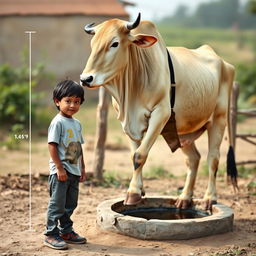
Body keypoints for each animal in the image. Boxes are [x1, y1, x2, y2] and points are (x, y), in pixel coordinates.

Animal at [80, 13, 238, 210]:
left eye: (114, 43)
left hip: (219, 118)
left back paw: (209, 198)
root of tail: (225, 64)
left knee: (213, 158)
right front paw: (138, 191)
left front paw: (133, 193)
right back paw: (184, 198)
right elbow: (133, 154)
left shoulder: (160, 114)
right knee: (193, 159)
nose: (86, 79)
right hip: (183, 133)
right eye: (93, 44)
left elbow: (139, 155)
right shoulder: (128, 123)